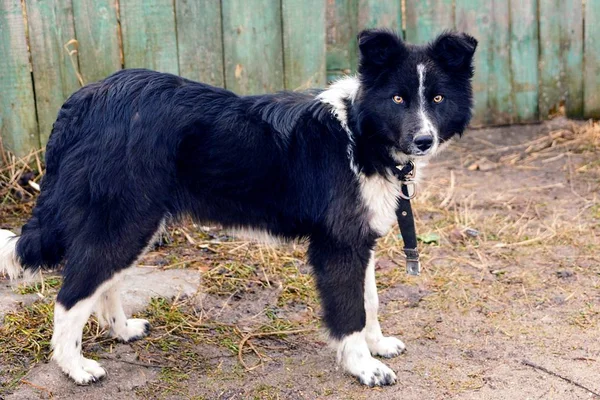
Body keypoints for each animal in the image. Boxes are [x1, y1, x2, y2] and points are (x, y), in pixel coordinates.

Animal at [0, 29, 478, 386]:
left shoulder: (361, 239)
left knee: (103, 282)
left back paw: (122, 331)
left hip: (135, 222)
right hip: (124, 219)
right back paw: (75, 368)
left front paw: (377, 346)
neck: (358, 134)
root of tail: (84, 101)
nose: (423, 141)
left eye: (437, 99)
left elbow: (370, 301)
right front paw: (365, 367)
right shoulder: (338, 246)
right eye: (398, 99)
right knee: (71, 296)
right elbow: (349, 311)